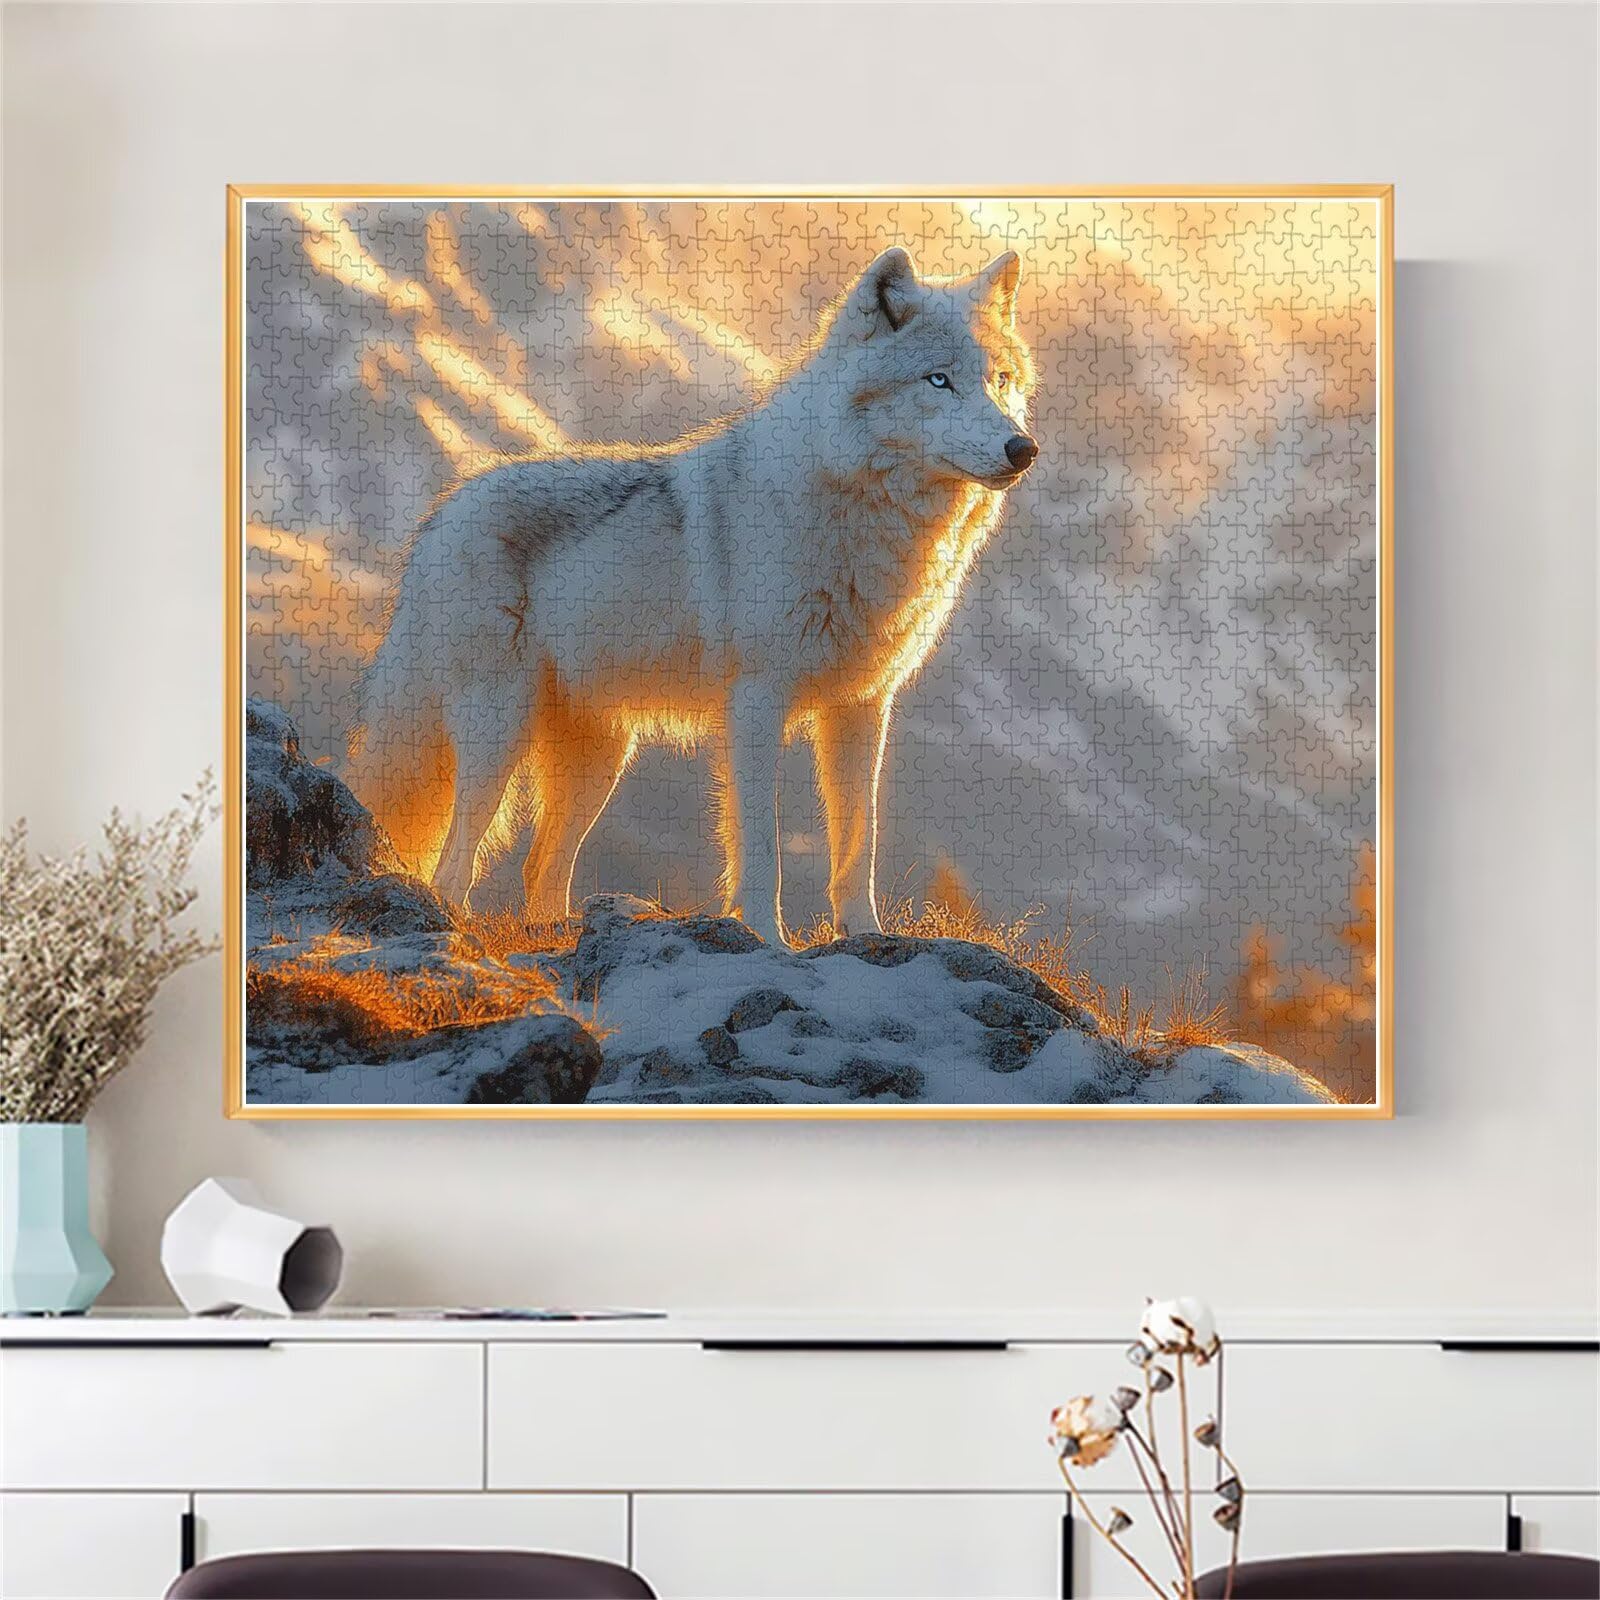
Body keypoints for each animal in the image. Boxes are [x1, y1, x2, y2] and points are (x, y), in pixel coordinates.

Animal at [348, 246, 1037, 947]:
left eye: (1002, 380)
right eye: (938, 381)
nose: (1023, 448)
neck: (866, 518)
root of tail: (440, 515)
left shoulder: (862, 708)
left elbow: (858, 842)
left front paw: (865, 936)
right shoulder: (757, 700)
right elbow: (762, 844)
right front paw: (768, 939)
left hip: (600, 760)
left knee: (539, 868)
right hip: (496, 738)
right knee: (454, 863)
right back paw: (457, 928)